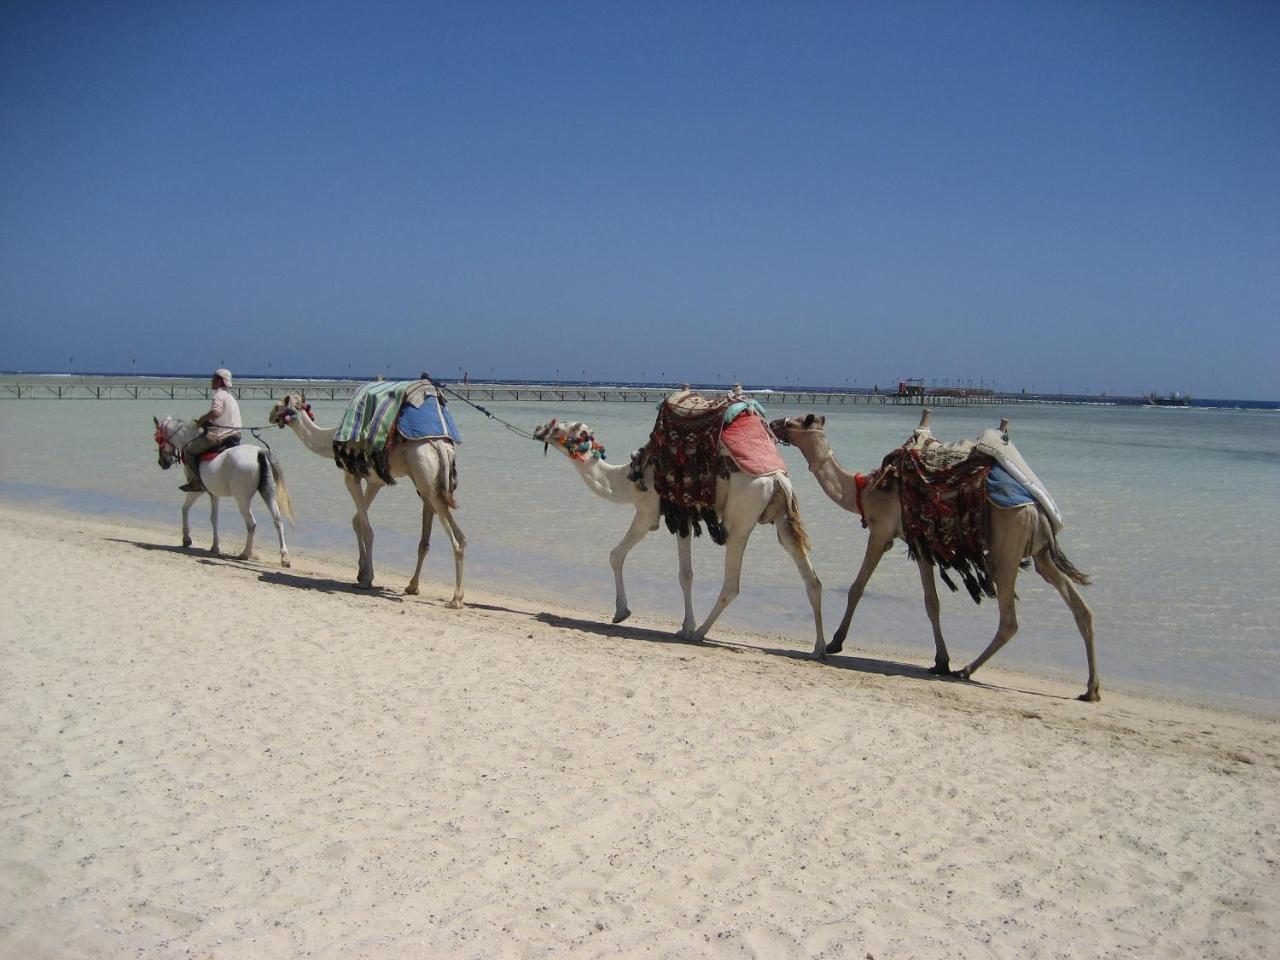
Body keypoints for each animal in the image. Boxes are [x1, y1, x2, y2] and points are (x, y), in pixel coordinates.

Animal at [152, 417, 294, 568]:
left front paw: (186, 538)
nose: (162, 462)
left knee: (251, 524)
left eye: (158, 439)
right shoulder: (214, 493)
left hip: (242, 499)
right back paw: (284, 557)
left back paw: (245, 553)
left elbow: (185, 509)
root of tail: (259, 452)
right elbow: (214, 518)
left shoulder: (197, 490)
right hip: (268, 493)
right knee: (277, 519)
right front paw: (215, 546)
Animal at [268, 391, 465, 604]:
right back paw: (425, 589)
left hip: (426, 480)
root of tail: (440, 445)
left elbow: (367, 529)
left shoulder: (351, 477)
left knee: (454, 538)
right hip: (436, 484)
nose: (271, 416)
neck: (330, 440)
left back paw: (455, 599)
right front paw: (361, 572)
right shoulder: (375, 481)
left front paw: (366, 579)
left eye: (279, 405)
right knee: (460, 536)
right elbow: (357, 521)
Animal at [532, 417, 824, 660]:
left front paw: (622, 612)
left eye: (560, 428)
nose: (538, 429)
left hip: (741, 518)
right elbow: (686, 574)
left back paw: (701, 633)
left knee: (732, 583)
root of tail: (777, 479)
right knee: (811, 578)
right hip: (782, 517)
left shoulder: (648, 512)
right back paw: (818, 648)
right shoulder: (683, 518)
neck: (627, 478)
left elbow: (616, 555)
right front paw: (683, 626)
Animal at [762, 409, 1095, 701]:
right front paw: (940, 661)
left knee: (1010, 619)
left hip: (1007, 548)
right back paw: (1091, 690)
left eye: (794, 421)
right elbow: (931, 602)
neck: (865, 489)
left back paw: (967, 670)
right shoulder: (919, 541)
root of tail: (1037, 510)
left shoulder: (880, 532)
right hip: (1040, 553)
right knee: (1080, 608)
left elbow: (857, 588)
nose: (773, 423)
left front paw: (835, 642)